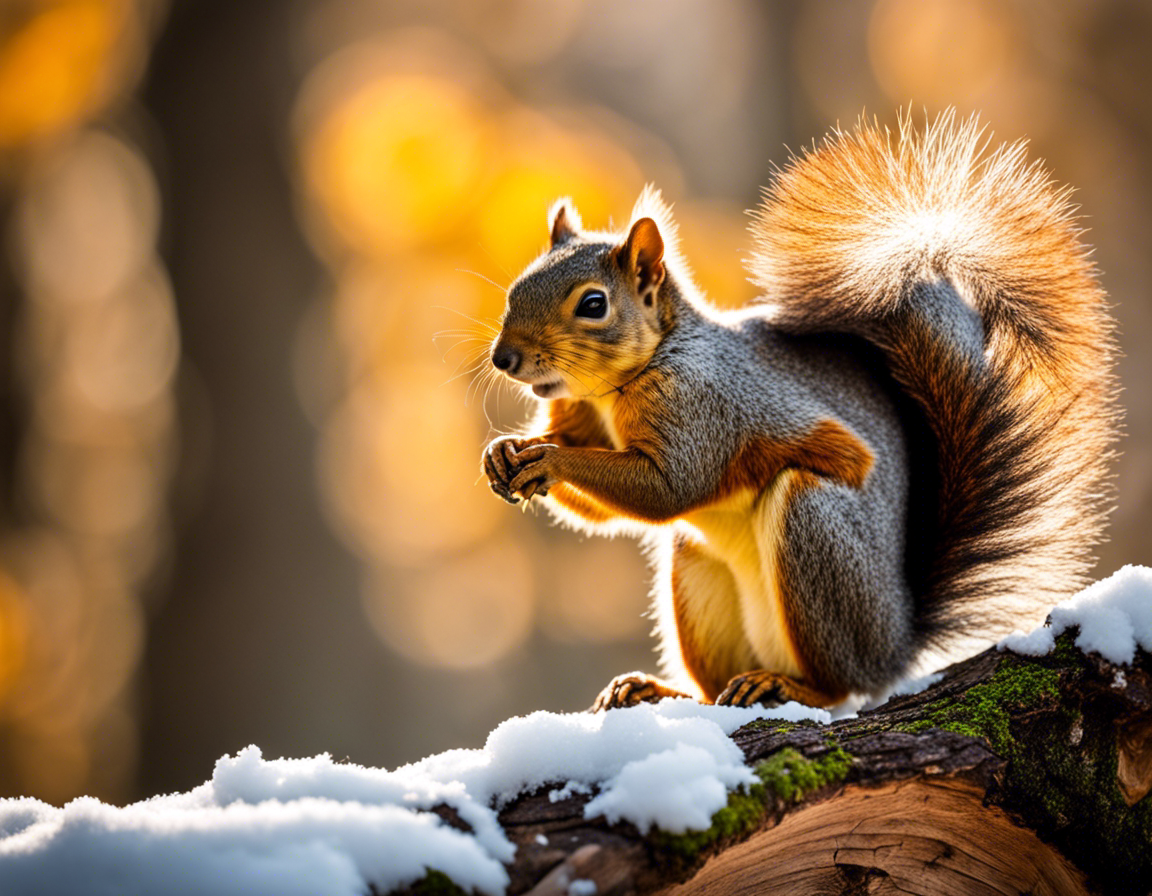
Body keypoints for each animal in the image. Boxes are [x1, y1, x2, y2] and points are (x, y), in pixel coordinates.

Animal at [476, 111, 1115, 709]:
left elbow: (670, 488)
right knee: (714, 689)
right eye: (516, 287)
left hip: (815, 535)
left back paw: (789, 687)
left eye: (593, 304)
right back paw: (663, 691)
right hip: (698, 574)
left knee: (837, 684)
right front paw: (505, 452)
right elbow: (598, 505)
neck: (613, 391)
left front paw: (548, 461)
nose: (505, 358)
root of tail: (896, 645)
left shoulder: (707, 405)